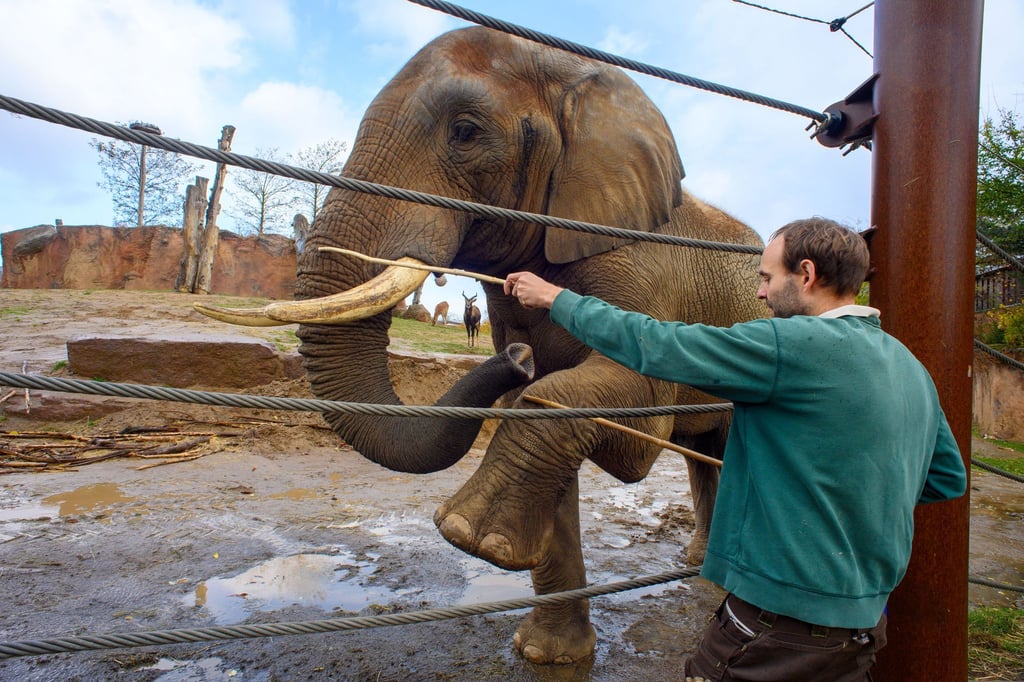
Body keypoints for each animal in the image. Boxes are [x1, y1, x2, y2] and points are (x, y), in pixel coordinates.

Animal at [196, 27, 764, 664]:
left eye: (465, 132)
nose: (515, 360)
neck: (581, 79)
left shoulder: (643, 263)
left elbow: (633, 408)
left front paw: (465, 533)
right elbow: (540, 404)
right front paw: (547, 654)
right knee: (704, 449)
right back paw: (699, 564)